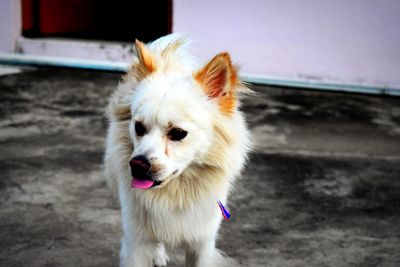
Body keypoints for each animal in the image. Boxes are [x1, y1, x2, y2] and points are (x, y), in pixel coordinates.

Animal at [105, 34, 250, 266]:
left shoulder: (202, 243)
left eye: (178, 133)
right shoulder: (136, 241)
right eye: (138, 127)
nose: (137, 165)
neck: (173, 194)